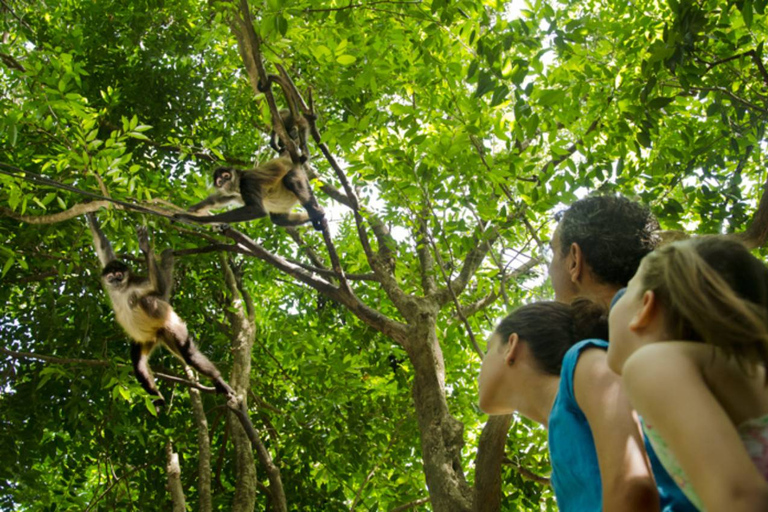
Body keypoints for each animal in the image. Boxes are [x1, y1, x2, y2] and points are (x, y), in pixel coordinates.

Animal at [85, 214, 232, 410]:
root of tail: (158, 333)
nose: (116, 279)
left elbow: (161, 292)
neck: (122, 290)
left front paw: (145, 247)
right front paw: (90, 214)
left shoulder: (137, 283)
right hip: (149, 338)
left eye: (119, 274)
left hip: (172, 325)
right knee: (139, 367)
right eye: (111, 275)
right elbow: (102, 245)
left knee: (187, 353)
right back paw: (158, 398)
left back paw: (218, 380)